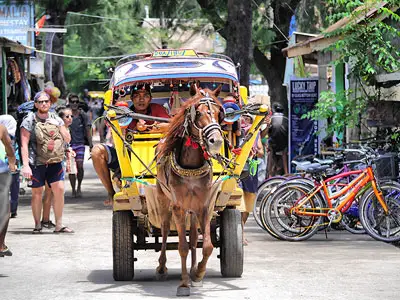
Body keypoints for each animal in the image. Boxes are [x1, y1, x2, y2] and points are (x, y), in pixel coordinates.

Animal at [155, 85, 225, 296]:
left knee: (194, 237)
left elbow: (207, 246)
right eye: (198, 113)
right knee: (164, 228)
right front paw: (184, 283)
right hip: (164, 199)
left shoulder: (204, 206)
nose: (216, 141)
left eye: (218, 113)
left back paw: (193, 269)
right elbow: (182, 247)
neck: (191, 165)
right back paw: (161, 267)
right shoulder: (178, 207)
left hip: (192, 209)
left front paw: (198, 274)